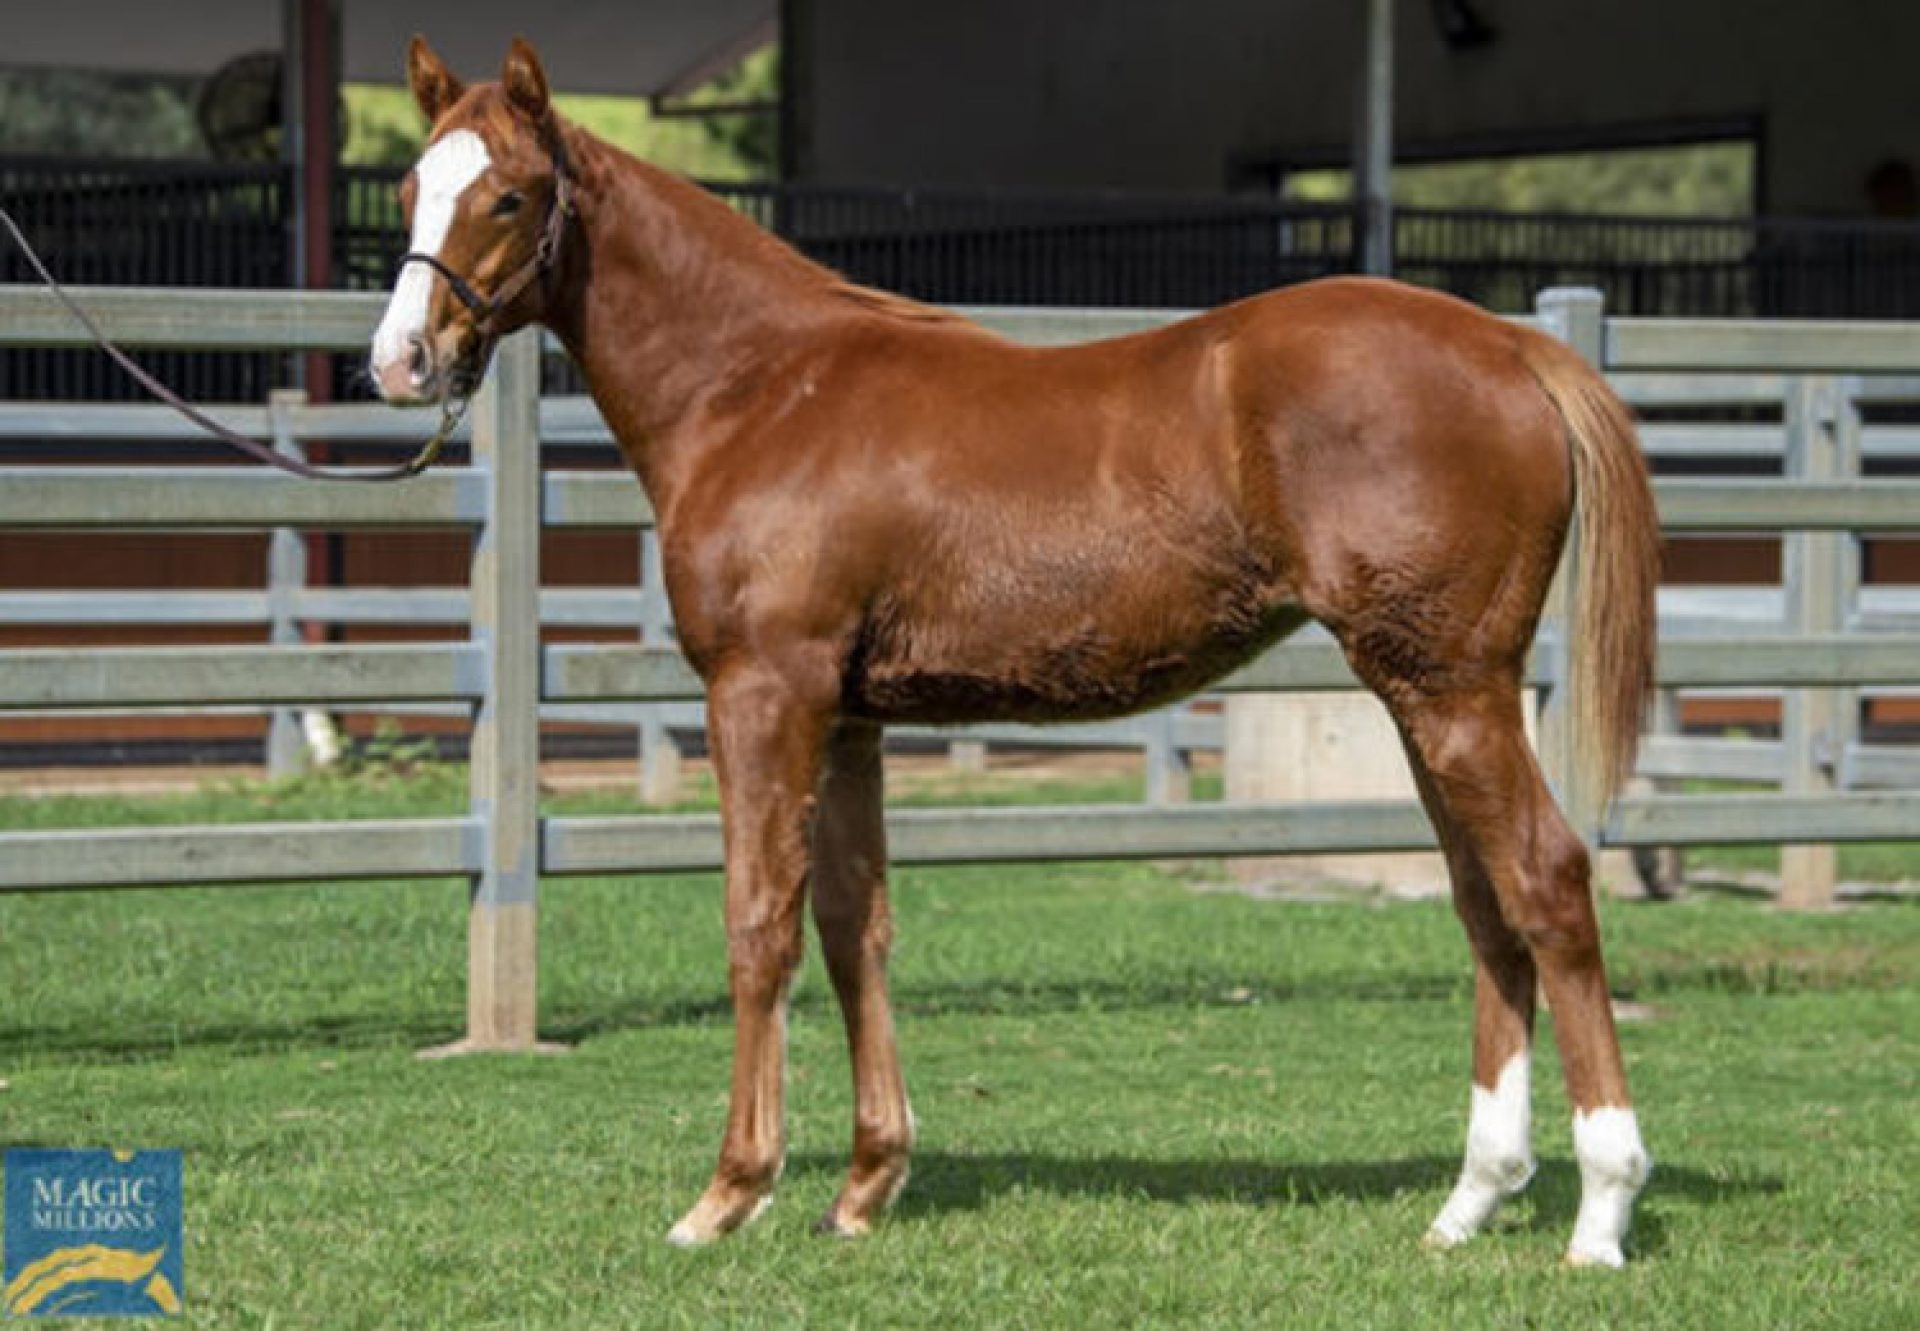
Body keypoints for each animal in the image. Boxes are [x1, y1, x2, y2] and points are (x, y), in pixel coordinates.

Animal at [378, 38, 1666, 1267]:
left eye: (507, 195)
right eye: (409, 188)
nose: (401, 362)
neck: (762, 389)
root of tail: (1513, 349)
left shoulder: (764, 692)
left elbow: (761, 922)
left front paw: (730, 1192)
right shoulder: (848, 714)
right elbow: (853, 925)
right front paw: (865, 1185)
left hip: (1454, 690)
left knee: (1548, 879)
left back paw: (1601, 1210)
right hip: (1422, 693)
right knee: (1486, 900)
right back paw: (1473, 1200)